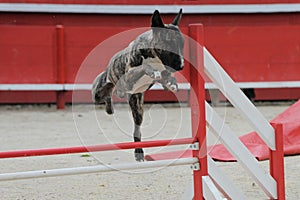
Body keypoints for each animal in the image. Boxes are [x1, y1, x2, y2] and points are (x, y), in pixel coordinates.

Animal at [92, 9, 184, 162]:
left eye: (182, 45)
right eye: (169, 43)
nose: (181, 66)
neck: (154, 56)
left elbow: (166, 77)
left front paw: (172, 81)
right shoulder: (128, 77)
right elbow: (143, 67)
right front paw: (151, 70)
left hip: (137, 106)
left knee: (137, 129)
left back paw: (139, 151)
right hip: (99, 92)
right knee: (105, 96)